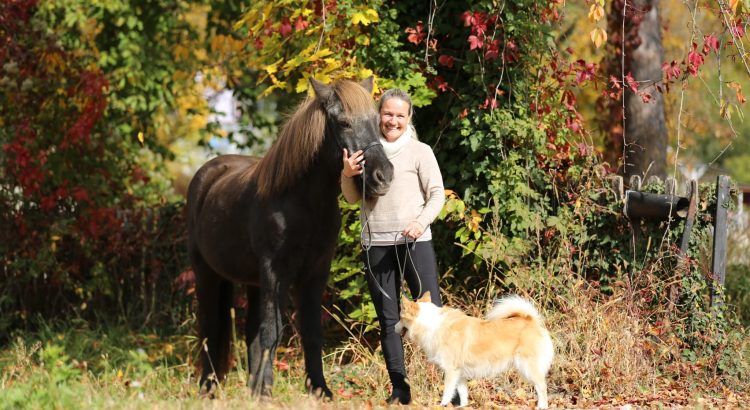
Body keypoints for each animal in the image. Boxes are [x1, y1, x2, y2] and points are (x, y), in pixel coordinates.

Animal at [186, 77, 393, 397]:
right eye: (344, 123)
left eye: (376, 121)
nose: (383, 176)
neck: (302, 202)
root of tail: (207, 175)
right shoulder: (275, 271)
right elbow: (273, 331)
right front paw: (266, 394)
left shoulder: (315, 272)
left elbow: (309, 332)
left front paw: (319, 389)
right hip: (206, 272)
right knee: (209, 328)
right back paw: (208, 388)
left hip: (252, 281)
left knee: (250, 331)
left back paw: (252, 387)